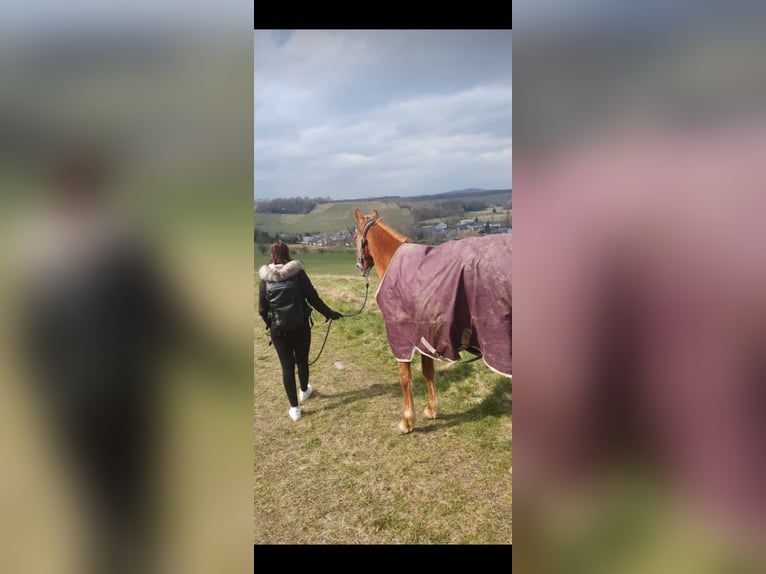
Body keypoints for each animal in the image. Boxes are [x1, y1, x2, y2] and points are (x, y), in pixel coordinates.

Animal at [356, 209, 512, 434]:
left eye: (355, 234)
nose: (359, 266)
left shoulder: (400, 338)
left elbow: (405, 378)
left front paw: (407, 421)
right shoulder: (425, 337)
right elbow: (428, 372)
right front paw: (431, 410)